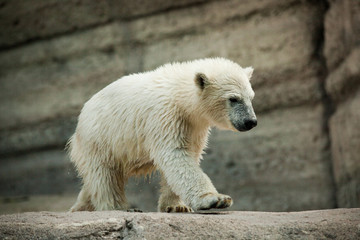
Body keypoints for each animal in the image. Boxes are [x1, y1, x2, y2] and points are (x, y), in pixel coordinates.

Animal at [68, 57, 256, 212]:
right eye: (233, 99)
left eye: (251, 97)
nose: (250, 121)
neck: (179, 95)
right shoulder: (165, 116)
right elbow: (175, 155)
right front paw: (215, 199)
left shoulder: (194, 126)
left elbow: (188, 155)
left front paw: (176, 206)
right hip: (100, 138)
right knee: (104, 176)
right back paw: (118, 207)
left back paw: (80, 206)